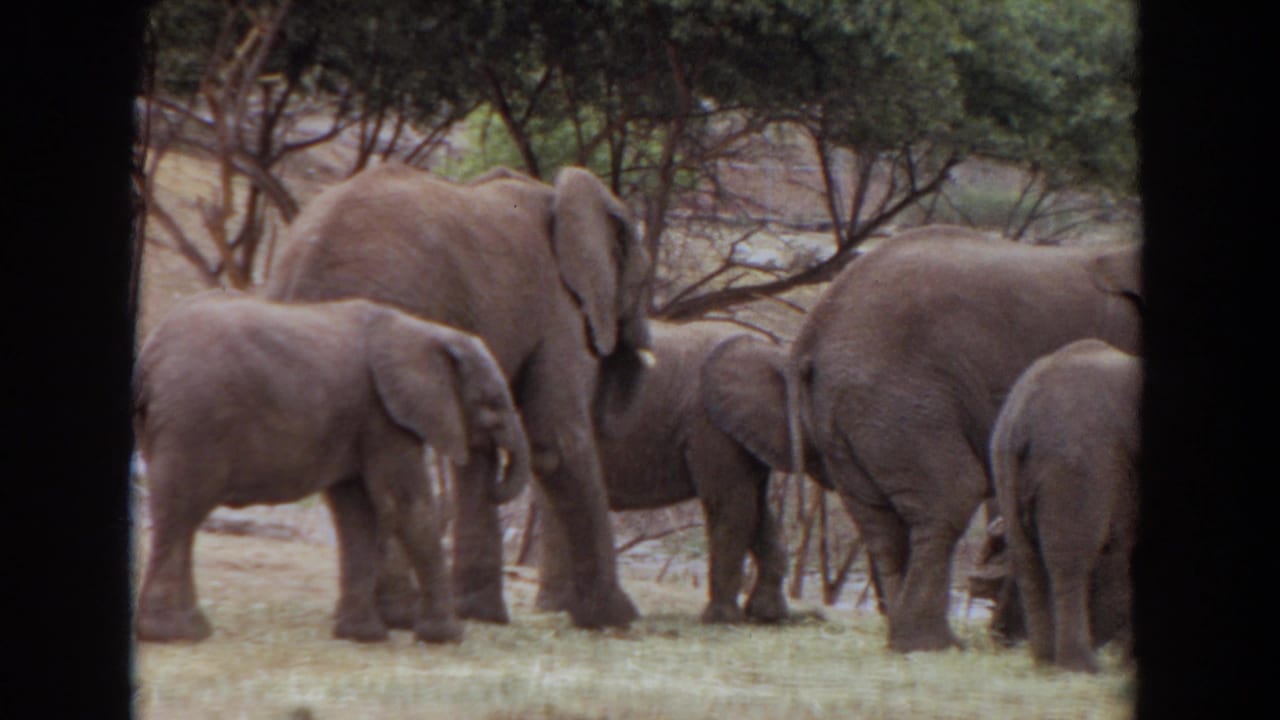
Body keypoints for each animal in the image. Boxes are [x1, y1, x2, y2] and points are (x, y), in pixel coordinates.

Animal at [132, 290, 533, 644]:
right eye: (492, 403)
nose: (492, 460)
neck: (426, 331)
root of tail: (150, 356)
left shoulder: (359, 419)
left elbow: (356, 514)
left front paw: (363, 636)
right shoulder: (383, 416)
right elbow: (407, 506)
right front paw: (448, 637)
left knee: (181, 516)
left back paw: (190, 631)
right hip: (195, 418)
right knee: (183, 511)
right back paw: (175, 634)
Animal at [265, 162, 654, 629]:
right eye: (644, 281)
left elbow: (478, 446)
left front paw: (480, 615)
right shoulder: (559, 309)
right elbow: (556, 443)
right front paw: (619, 618)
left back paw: (389, 615)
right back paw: (402, 615)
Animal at [991, 338, 1141, 672]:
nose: (998, 637)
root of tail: (1023, 414)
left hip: (1006, 464)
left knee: (1027, 558)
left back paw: (1046, 661)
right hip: (1078, 462)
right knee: (1071, 558)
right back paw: (1081, 665)